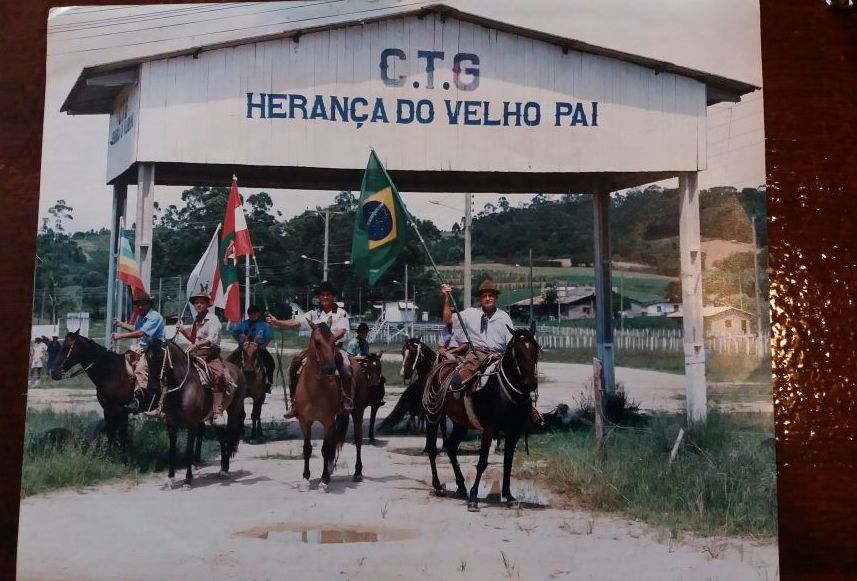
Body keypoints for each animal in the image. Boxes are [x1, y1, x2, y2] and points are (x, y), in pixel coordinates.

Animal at [157, 338, 246, 488]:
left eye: (156, 355)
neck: (183, 386)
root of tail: (237, 370)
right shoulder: (171, 424)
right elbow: (172, 450)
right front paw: (170, 479)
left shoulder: (192, 424)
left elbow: (188, 450)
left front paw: (188, 480)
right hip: (212, 418)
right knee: (222, 438)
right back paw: (222, 468)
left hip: (234, 411)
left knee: (228, 437)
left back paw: (225, 470)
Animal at [294, 322, 348, 490]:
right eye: (317, 342)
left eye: (333, 342)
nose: (330, 369)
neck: (314, 390)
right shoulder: (304, 422)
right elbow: (307, 449)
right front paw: (305, 478)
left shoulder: (328, 421)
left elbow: (325, 449)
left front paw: (324, 481)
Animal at [422, 324, 540, 510]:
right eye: (519, 351)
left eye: (535, 350)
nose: (530, 383)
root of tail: (440, 367)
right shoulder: (489, 429)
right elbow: (482, 462)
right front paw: (473, 498)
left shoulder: (514, 431)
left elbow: (508, 462)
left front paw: (508, 496)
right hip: (433, 416)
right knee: (433, 450)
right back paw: (438, 486)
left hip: (460, 423)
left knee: (452, 448)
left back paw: (461, 486)